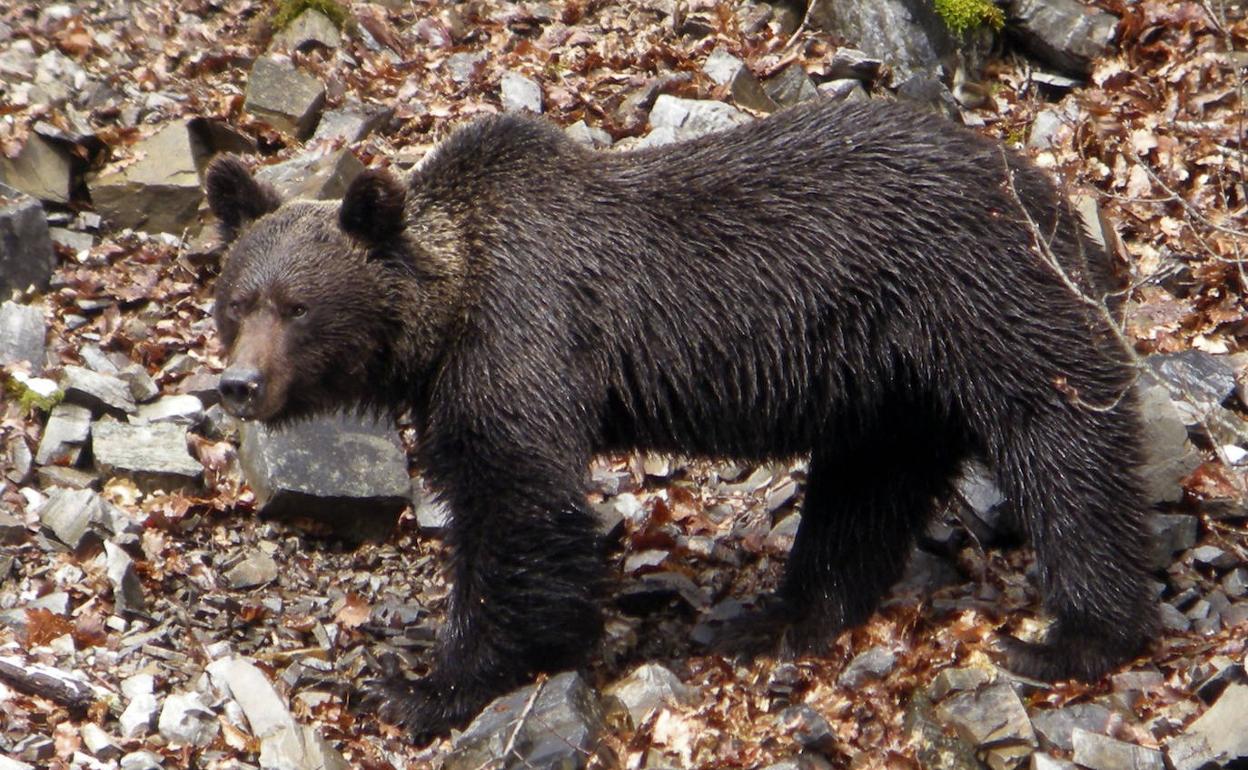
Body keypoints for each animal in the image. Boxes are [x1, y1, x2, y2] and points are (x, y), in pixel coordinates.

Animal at [204, 97, 1158, 743]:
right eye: (236, 301)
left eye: (297, 307)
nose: (239, 385)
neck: (446, 313)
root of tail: (1048, 190)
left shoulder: (524, 336)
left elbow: (520, 506)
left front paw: (430, 684)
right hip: (889, 379)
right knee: (866, 487)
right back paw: (781, 615)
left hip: (976, 293)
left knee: (1064, 437)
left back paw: (1078, 636)